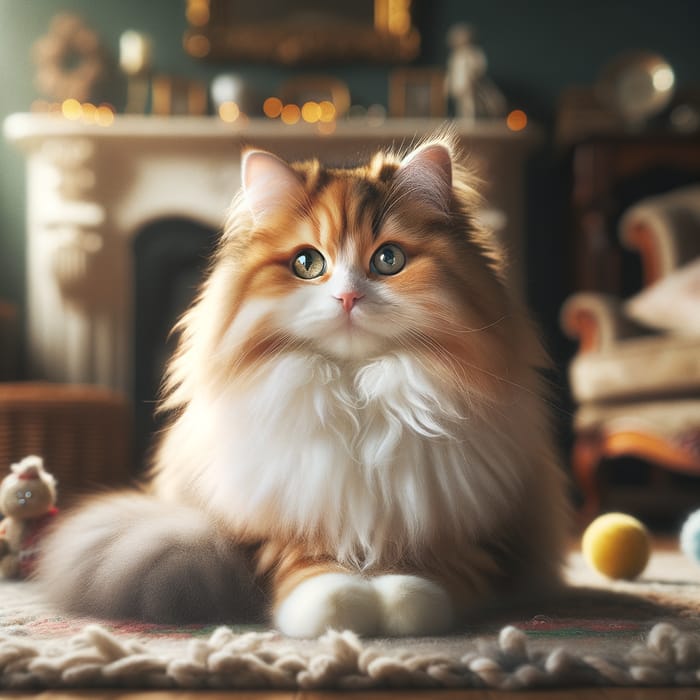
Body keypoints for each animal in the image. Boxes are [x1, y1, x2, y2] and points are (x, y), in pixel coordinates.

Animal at [38, 134, 572, 636]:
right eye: (308, 264)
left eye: (389, 259)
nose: (348, 297)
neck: (357, 395)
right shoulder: (277, 521)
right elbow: (305, 564)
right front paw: (339, 606)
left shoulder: (457, 521)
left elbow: (431, 565)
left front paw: (403, 602)